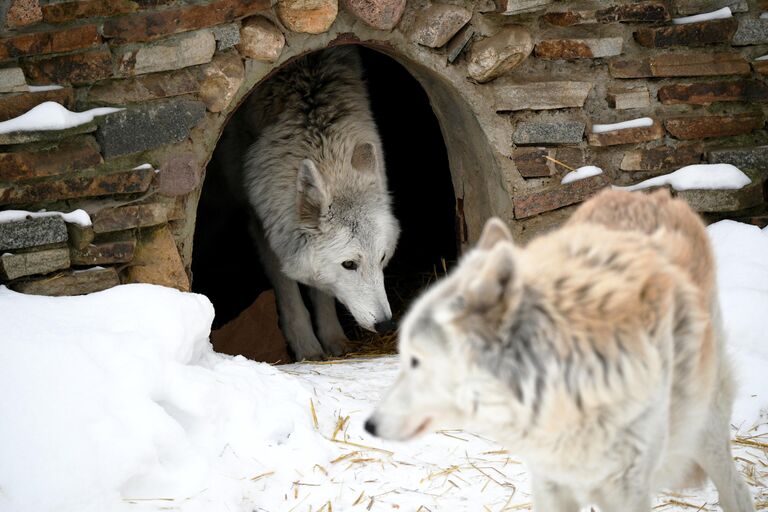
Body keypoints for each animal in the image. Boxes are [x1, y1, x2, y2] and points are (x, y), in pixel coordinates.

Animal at [222, 47, 400, 360]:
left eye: (382, 258)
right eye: (349, 264)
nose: (387, 324)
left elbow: (322, 291)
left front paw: (333, 339)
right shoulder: (261, 225)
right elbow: (289, 293)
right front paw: (306, 347)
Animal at [366, 189, 756, 512]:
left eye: (415, 360)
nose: (369, 425)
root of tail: (651, 194)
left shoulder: (626, 491)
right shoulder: (550, 482)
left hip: (703, 429)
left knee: (737, 491)